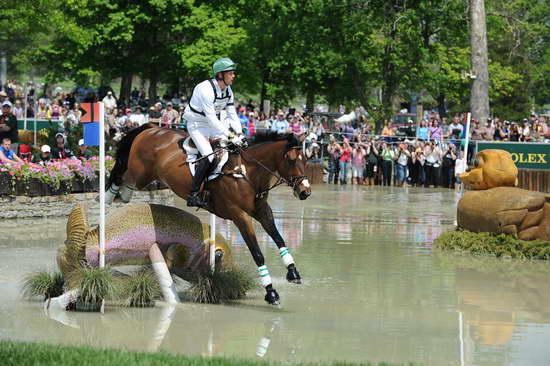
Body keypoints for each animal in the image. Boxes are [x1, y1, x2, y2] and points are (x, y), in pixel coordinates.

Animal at [107, 124, 312, 304]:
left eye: (306, 160)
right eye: (291, 160)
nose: (305, 192)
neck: (245, 172)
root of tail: (152, 128)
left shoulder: (262, 211)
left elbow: (279, 239)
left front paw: (293, 273)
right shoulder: (240, 215)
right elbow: (257, 254)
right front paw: (271, 293)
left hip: (144, 176)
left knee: (125, 184)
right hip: (139, 174)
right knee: (121, 176)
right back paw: (109, 198)